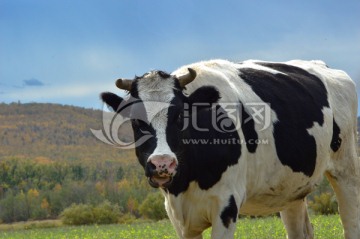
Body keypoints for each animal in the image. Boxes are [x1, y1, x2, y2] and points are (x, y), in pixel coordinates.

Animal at [100, 59, 358, 239]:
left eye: (180, 116)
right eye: (136, 121)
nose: (163, 164)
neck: (187, 181)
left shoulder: (226, 206)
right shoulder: (178, 216)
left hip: (346, 169)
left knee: (351, 222)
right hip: (292, 188)